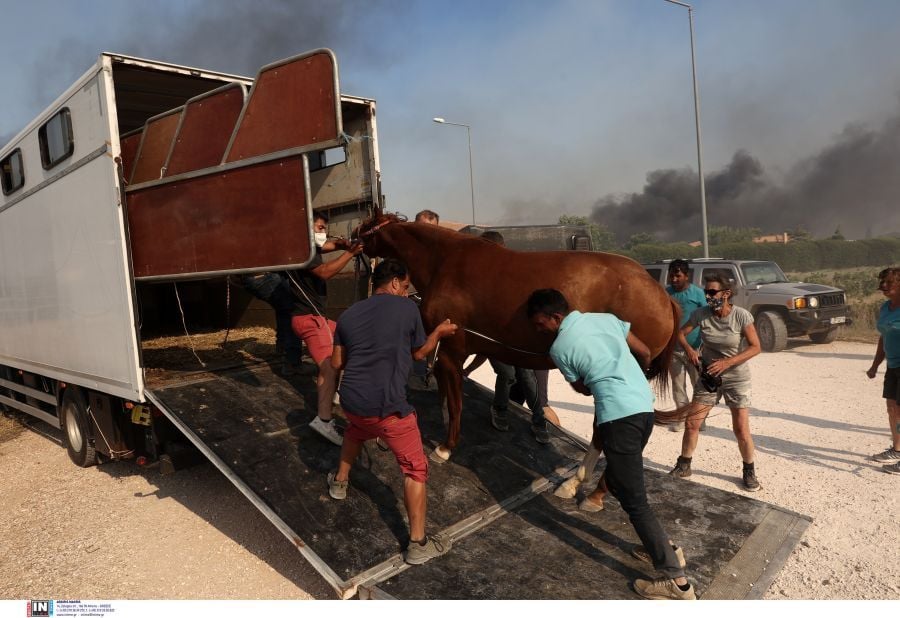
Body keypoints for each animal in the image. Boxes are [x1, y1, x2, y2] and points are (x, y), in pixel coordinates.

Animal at [354, 209, 676, 460]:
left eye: (366, 226)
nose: (350, 241)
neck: (443, 260)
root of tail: (660, 292)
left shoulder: (451, 350)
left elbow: (456, 403)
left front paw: (446, 447)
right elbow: (447, 396)